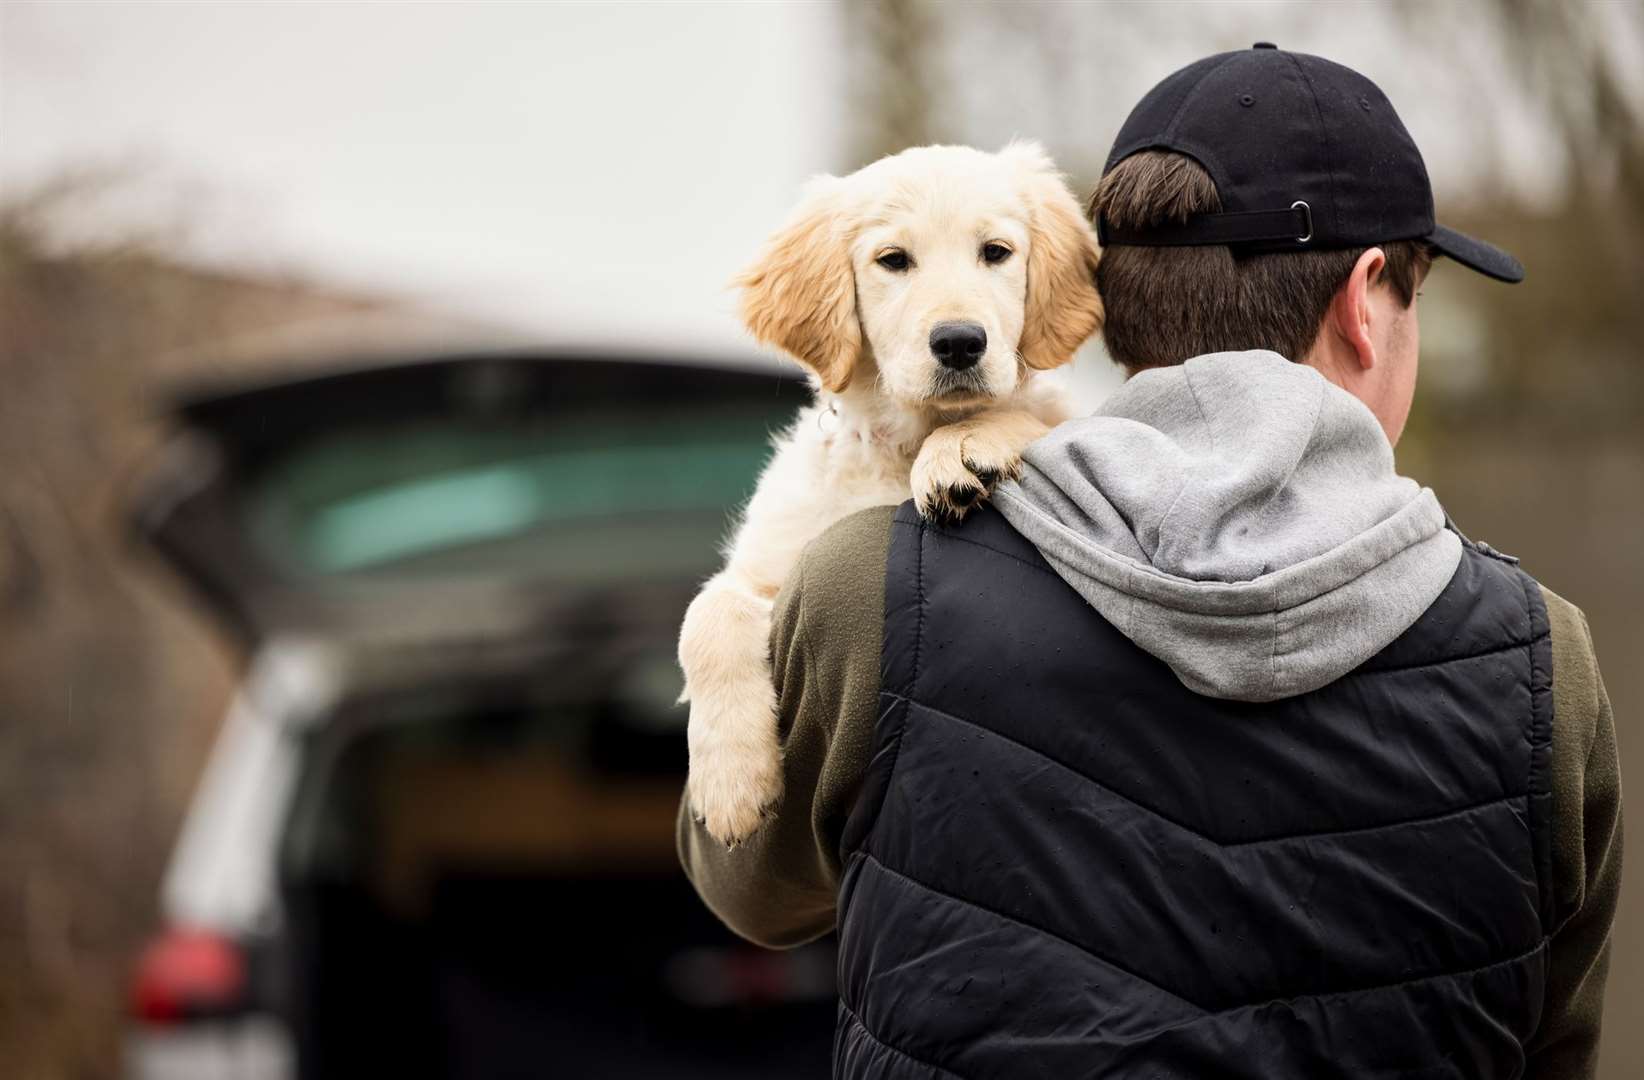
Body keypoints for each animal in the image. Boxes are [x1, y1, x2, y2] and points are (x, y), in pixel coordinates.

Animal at [674, 141, 1098, 841]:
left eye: (996, 252)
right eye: (894, 260)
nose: (960, 342)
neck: (902, 443)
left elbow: (1034, 416)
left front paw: (963, 447)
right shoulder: (771, 563)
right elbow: (706, 615)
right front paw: (731, 783)